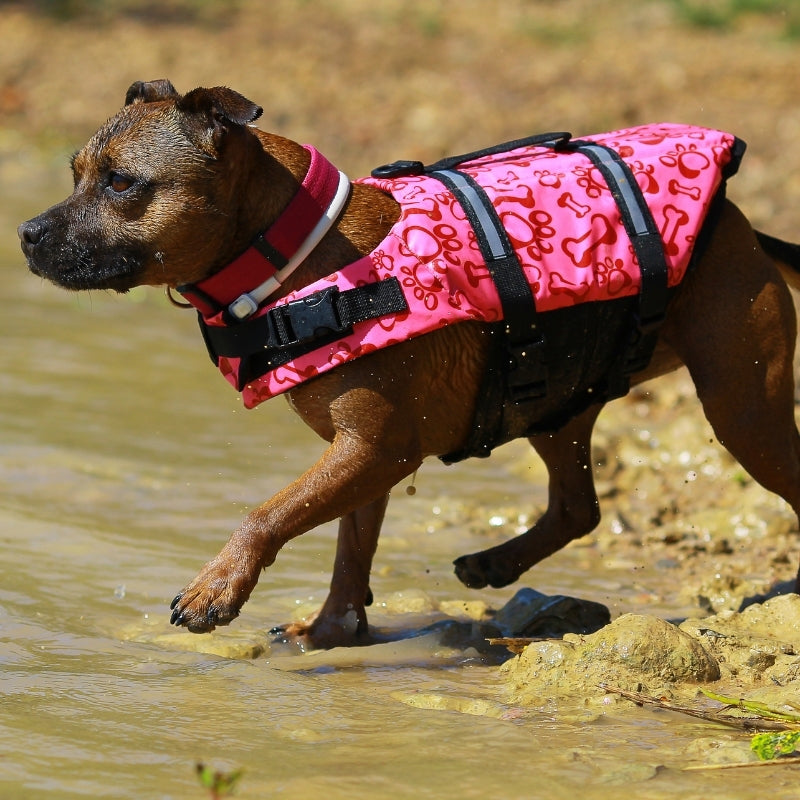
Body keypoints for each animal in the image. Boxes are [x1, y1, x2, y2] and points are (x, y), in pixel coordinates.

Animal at [18, 79, 800, 648]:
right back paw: (496, 561)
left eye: (122, 183)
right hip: (555, 402)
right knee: (579, 505)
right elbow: (348, 551)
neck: (298, 259)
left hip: (743, 405)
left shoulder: (375, 450)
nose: (26, 232)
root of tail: (740, 225)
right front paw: (330, 629)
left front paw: (218, 588)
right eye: (77, 173)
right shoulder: (367, 456)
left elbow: (267, 514)